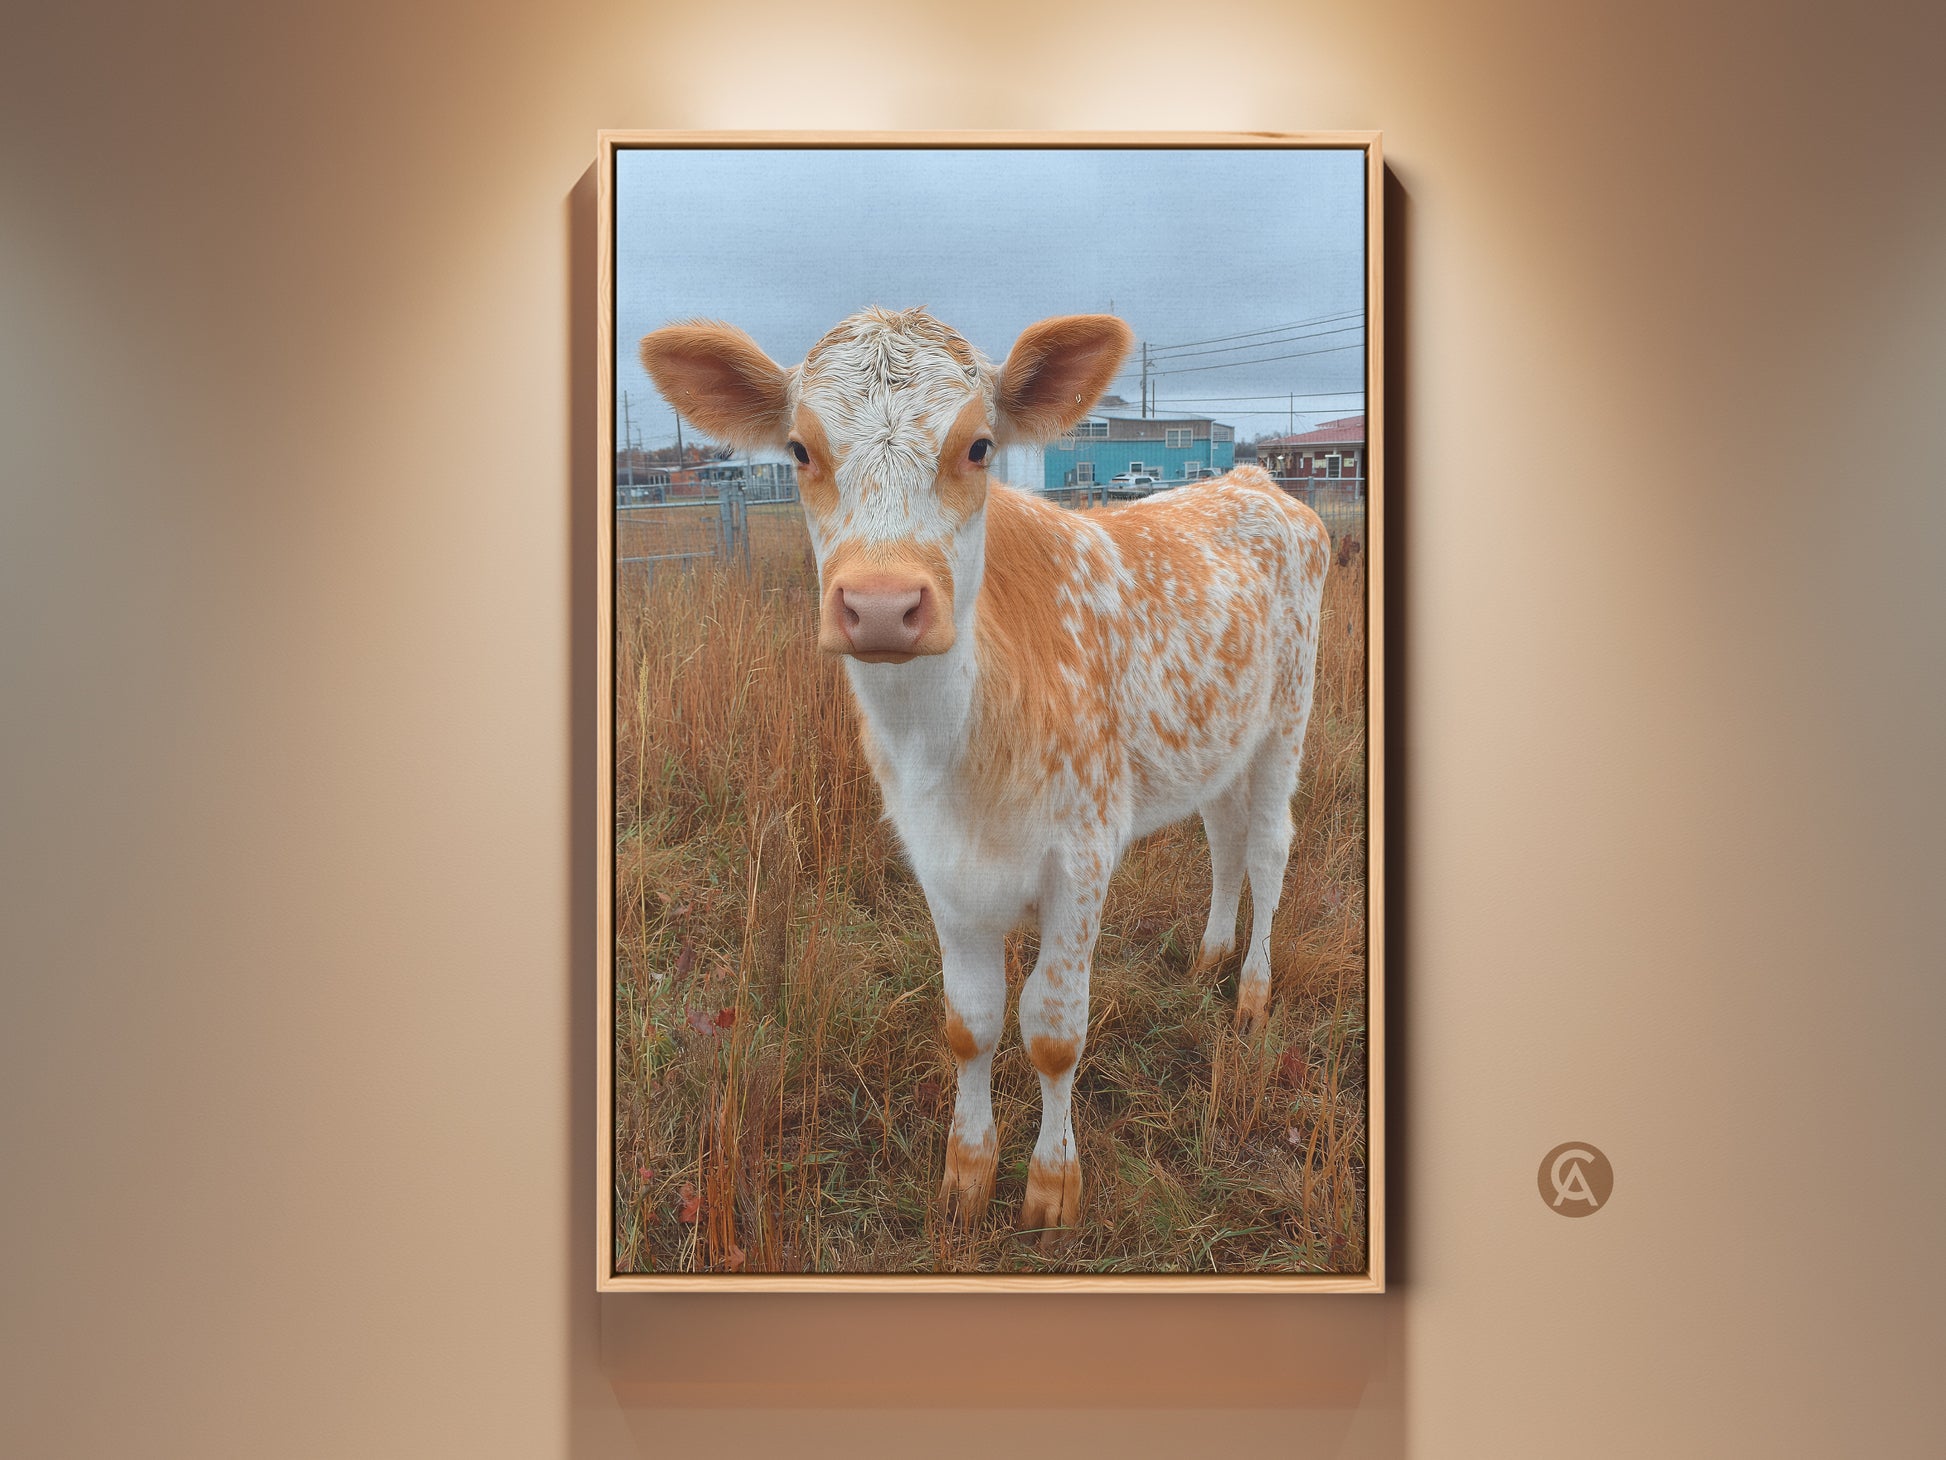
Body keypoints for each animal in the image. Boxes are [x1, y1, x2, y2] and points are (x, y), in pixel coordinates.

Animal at [639, 306, 1330, 1242]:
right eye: (799, 450)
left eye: (977, 447)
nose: (881, 606)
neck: (954, 749)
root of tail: (1256, 480)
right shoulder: (940, 864)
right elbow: (969, 1024)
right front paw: (965, 1176)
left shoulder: (1083, 854)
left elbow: (1054, 1030)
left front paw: (1051, 1186)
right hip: (1215, 739)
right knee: (1221, 839)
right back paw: (1209, 956)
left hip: (1286, 718)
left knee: (1265, 847)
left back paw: (1251, 991)